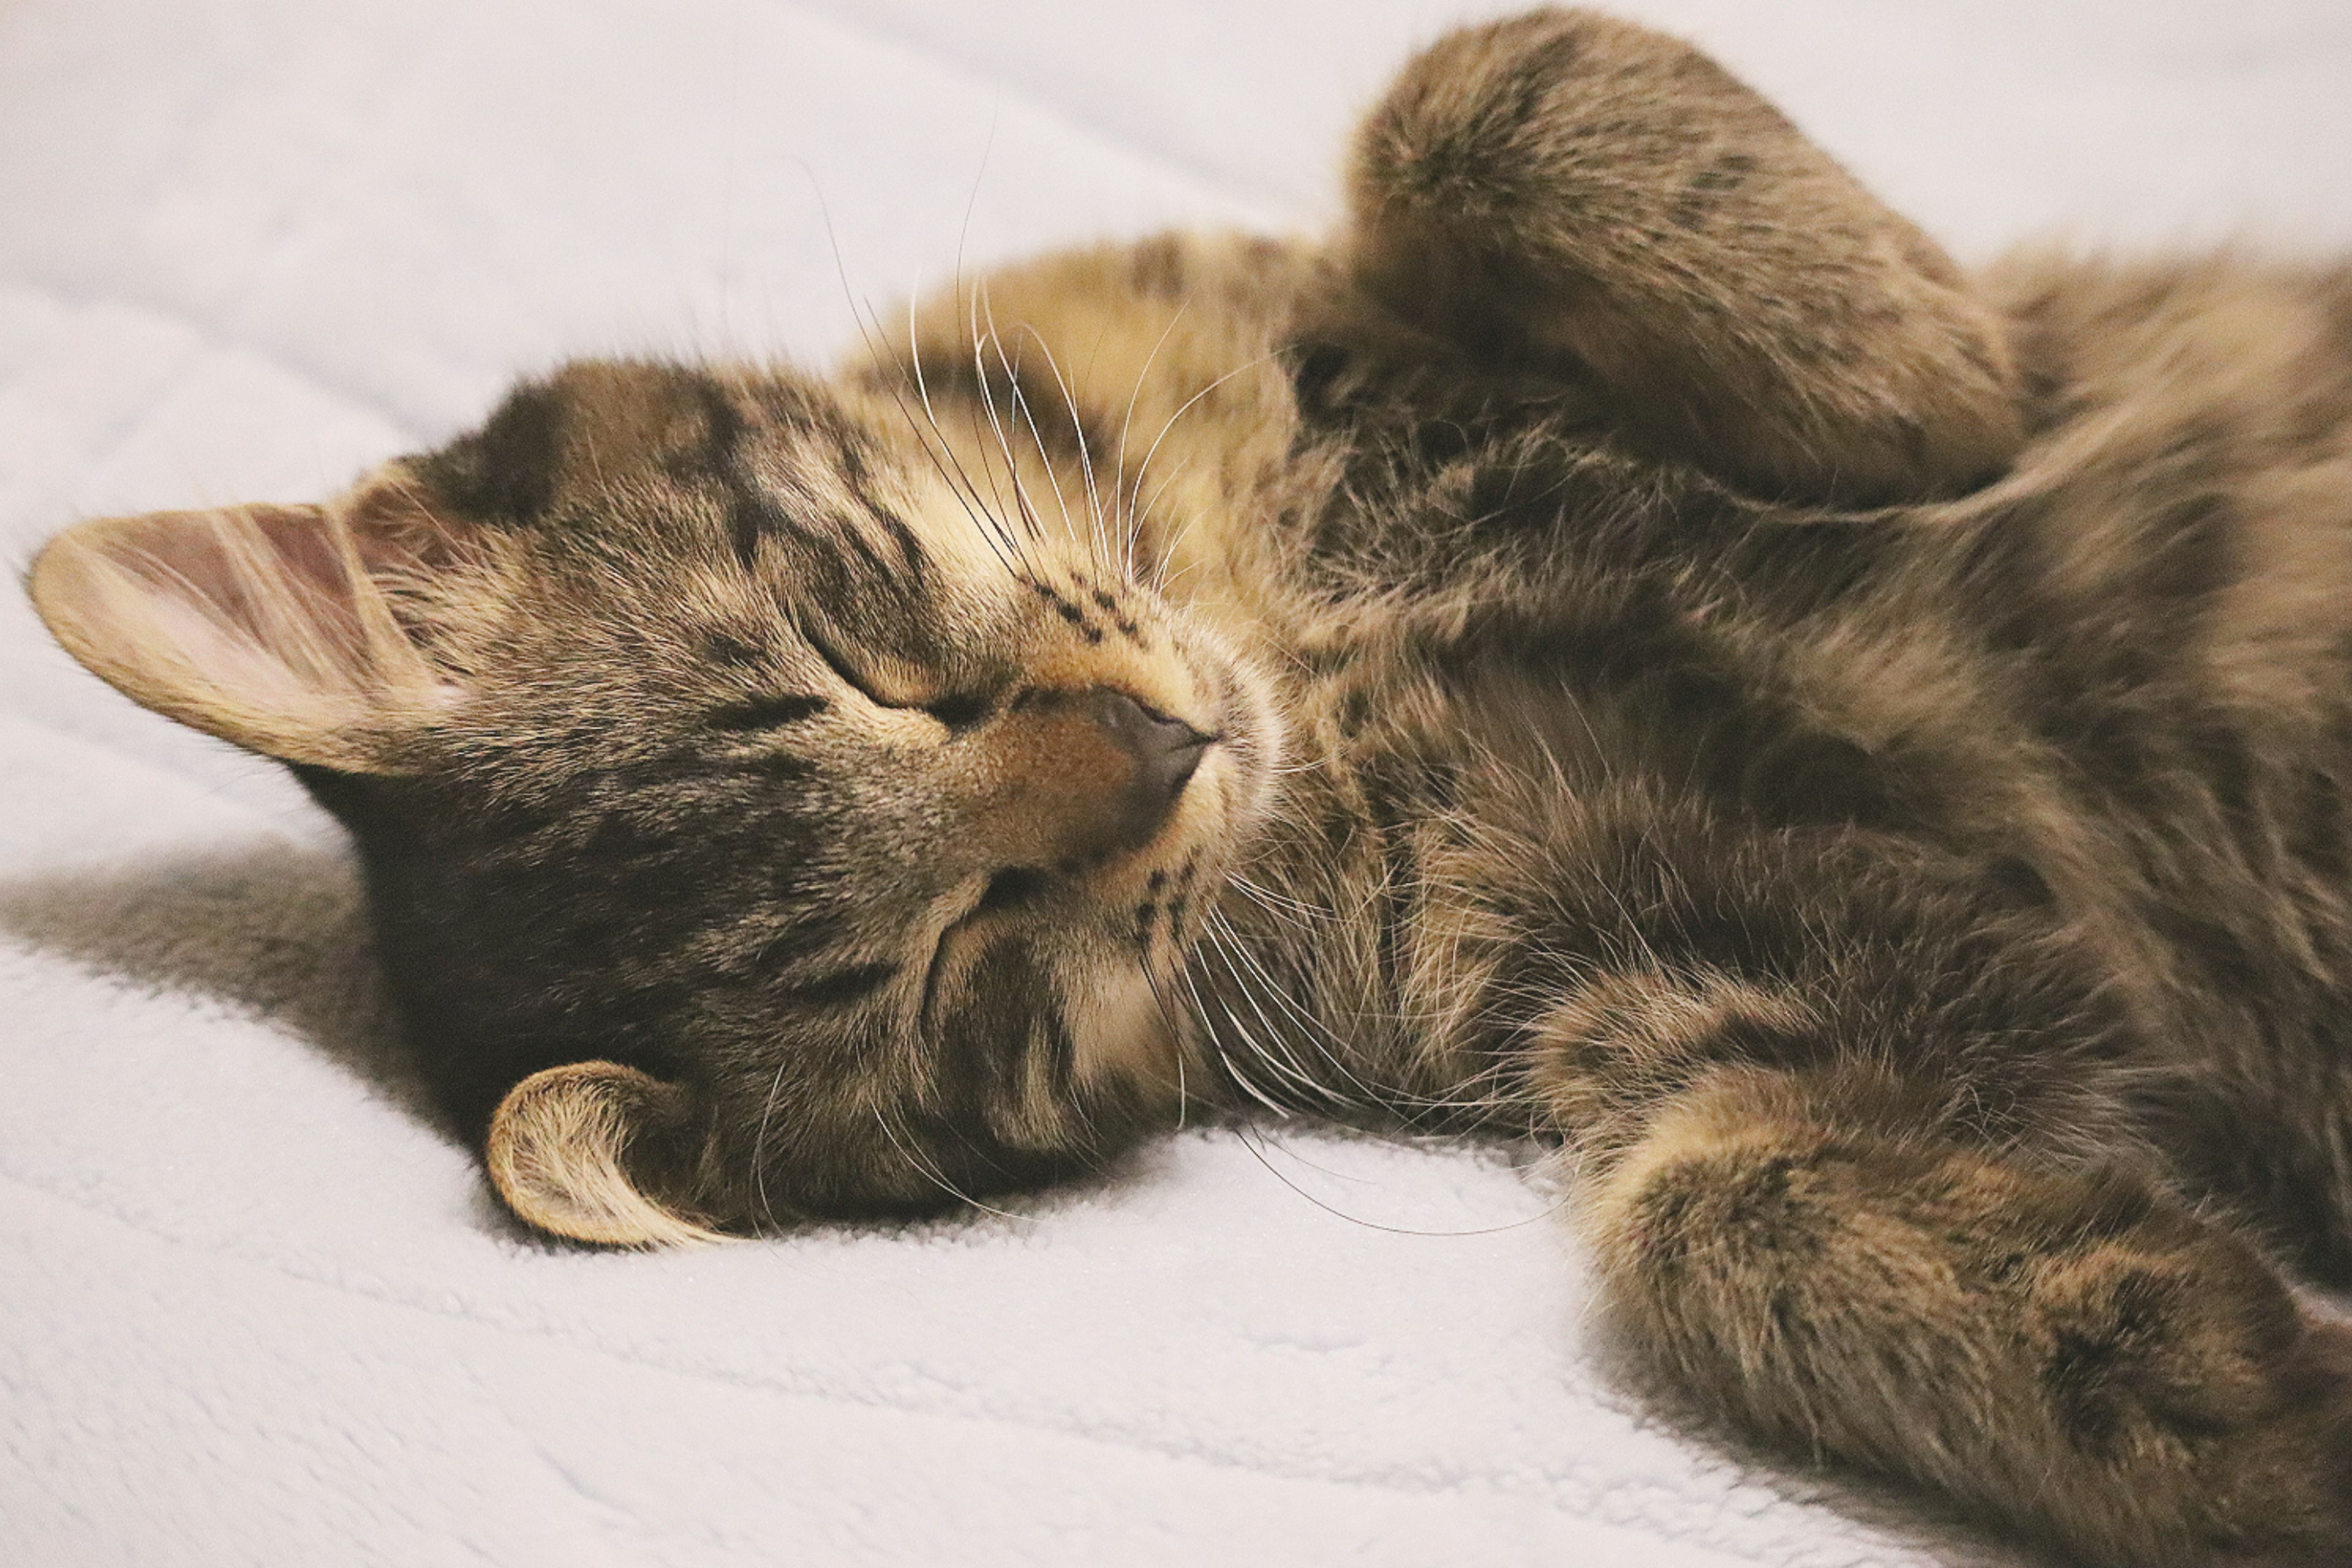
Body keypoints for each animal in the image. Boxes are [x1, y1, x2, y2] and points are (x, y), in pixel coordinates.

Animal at [28, 12, 2352, 1568]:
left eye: (865, 646)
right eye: (966, 969)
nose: (1160, 753)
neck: (1300, 643)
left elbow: (1483, 88)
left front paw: (1920, 365)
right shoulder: (1714, 991)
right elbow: (1715, 1214)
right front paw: (2259, 1395)